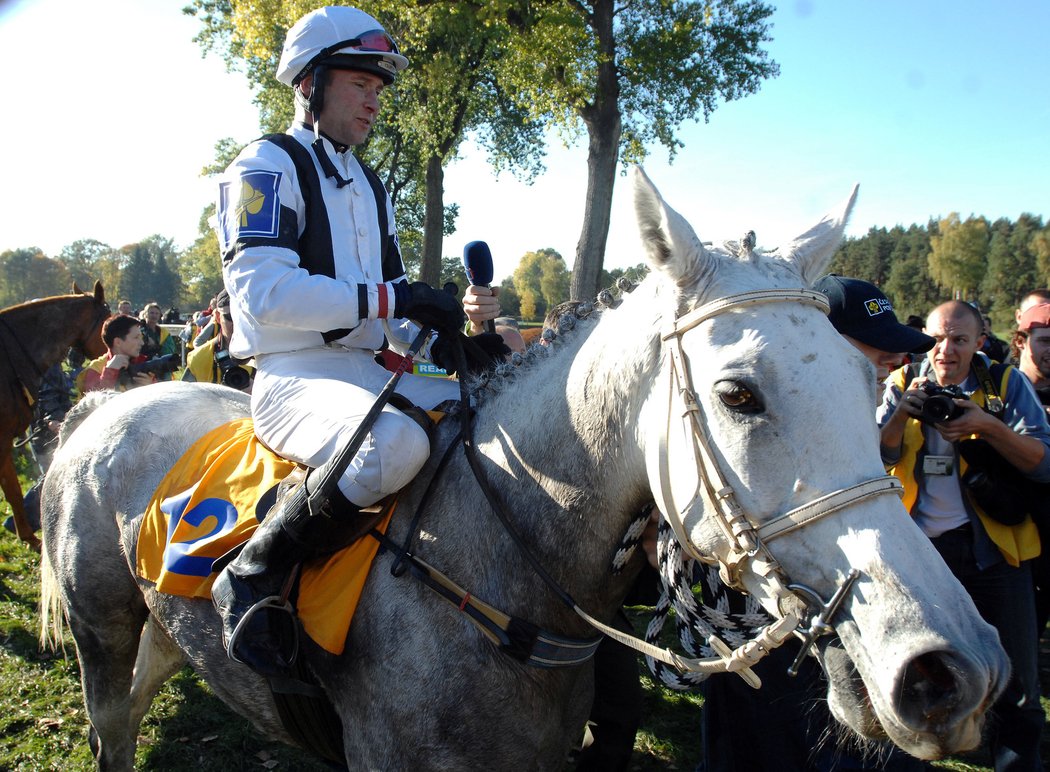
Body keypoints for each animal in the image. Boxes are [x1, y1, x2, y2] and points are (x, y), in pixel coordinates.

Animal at [40, 170, 1007, 772]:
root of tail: (101, 411)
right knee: (111, 725)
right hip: (101, 636)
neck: (494, 576)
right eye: (738, 394)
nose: (951, 671)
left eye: (867, 385)